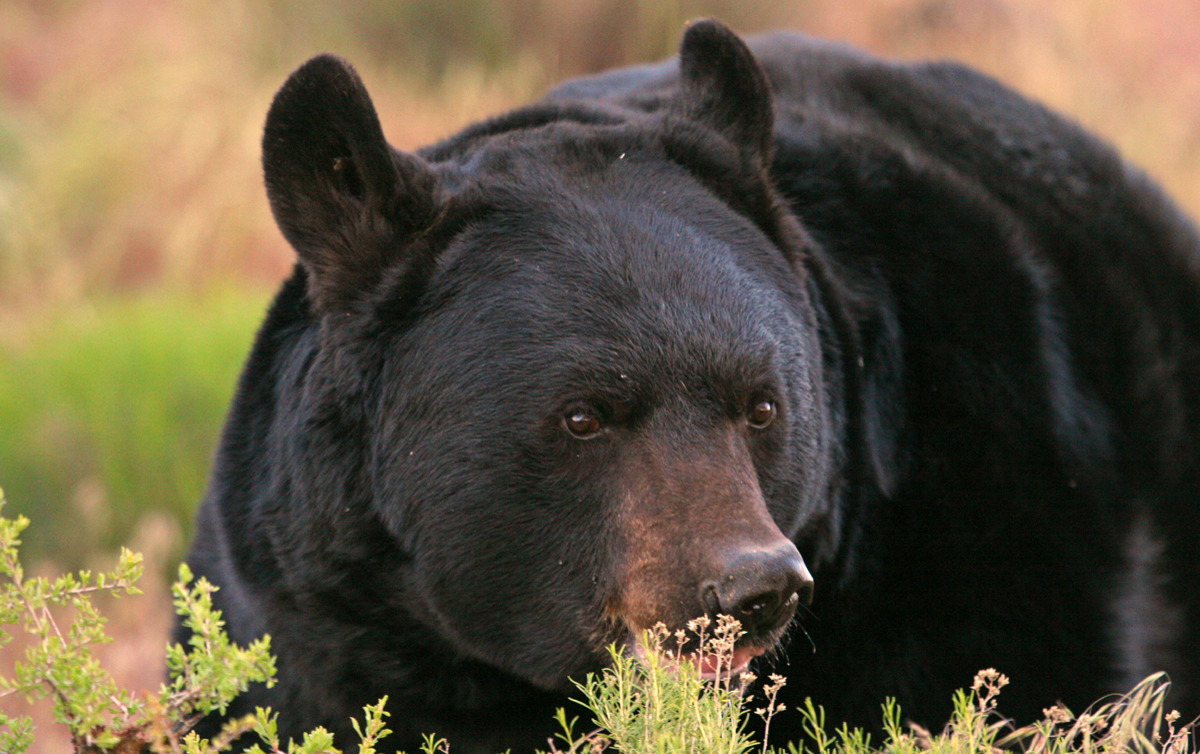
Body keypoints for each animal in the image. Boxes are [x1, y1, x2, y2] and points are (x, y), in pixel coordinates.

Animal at [177, 17, 1200, 754]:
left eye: (764, 406)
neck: (486, 669)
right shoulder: (311, 614)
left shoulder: (990, 513)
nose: (752, 588)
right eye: (582, 416)